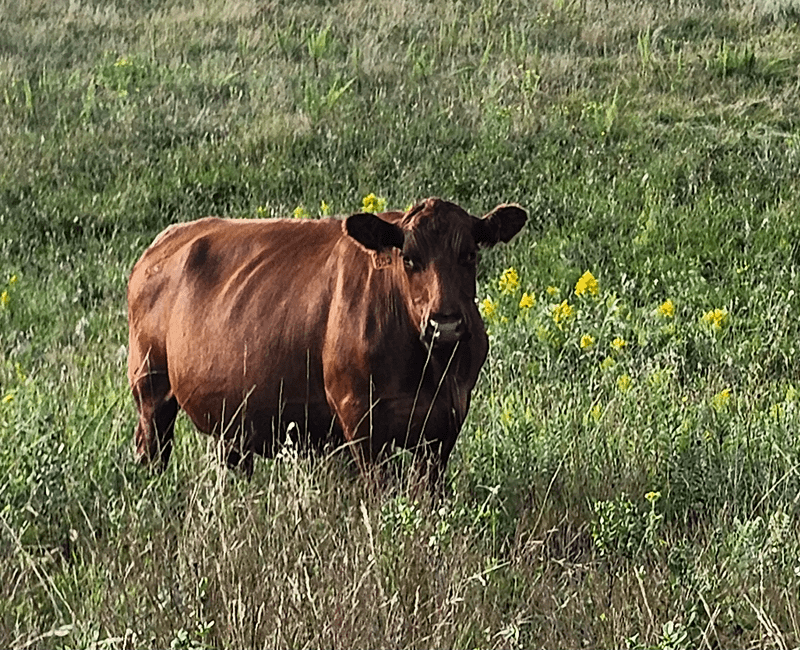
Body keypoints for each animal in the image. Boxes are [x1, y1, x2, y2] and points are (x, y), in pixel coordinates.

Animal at [127, 197, 526, 487]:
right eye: (409, 259)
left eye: (469, 254)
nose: (446, 323)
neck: (426, 366)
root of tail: (163, 242)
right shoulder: (360, 418)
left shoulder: (446, 421)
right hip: (150, 389)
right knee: (152, 449)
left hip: (231, 415)